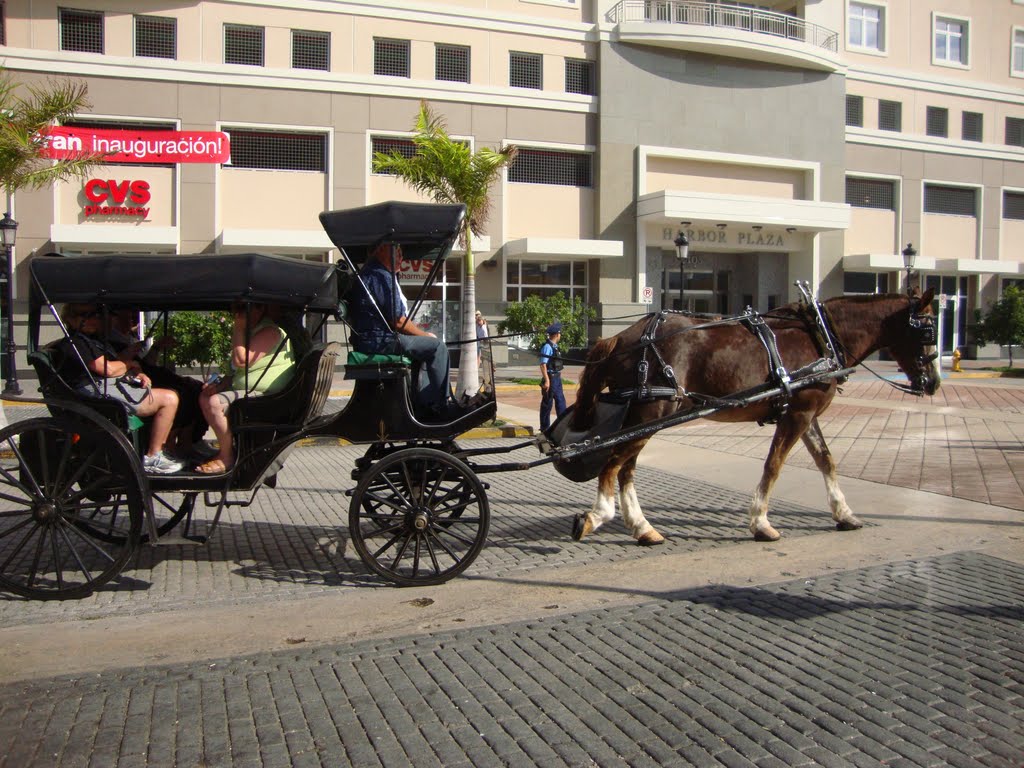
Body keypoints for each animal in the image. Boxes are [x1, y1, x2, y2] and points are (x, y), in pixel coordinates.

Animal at [573, 290, 937, 548]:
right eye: (927, 331)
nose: (933, 382)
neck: (820, 336)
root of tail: (622, 337)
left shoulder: (806, 414)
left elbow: (826, 461)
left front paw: (844, 513)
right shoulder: (798, 415)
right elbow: (774, 465)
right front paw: (761, 523)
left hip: (644, 416)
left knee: (625, 470)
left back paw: (642, 528)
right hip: (652, 413)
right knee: (613, 465)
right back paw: (598, 515)